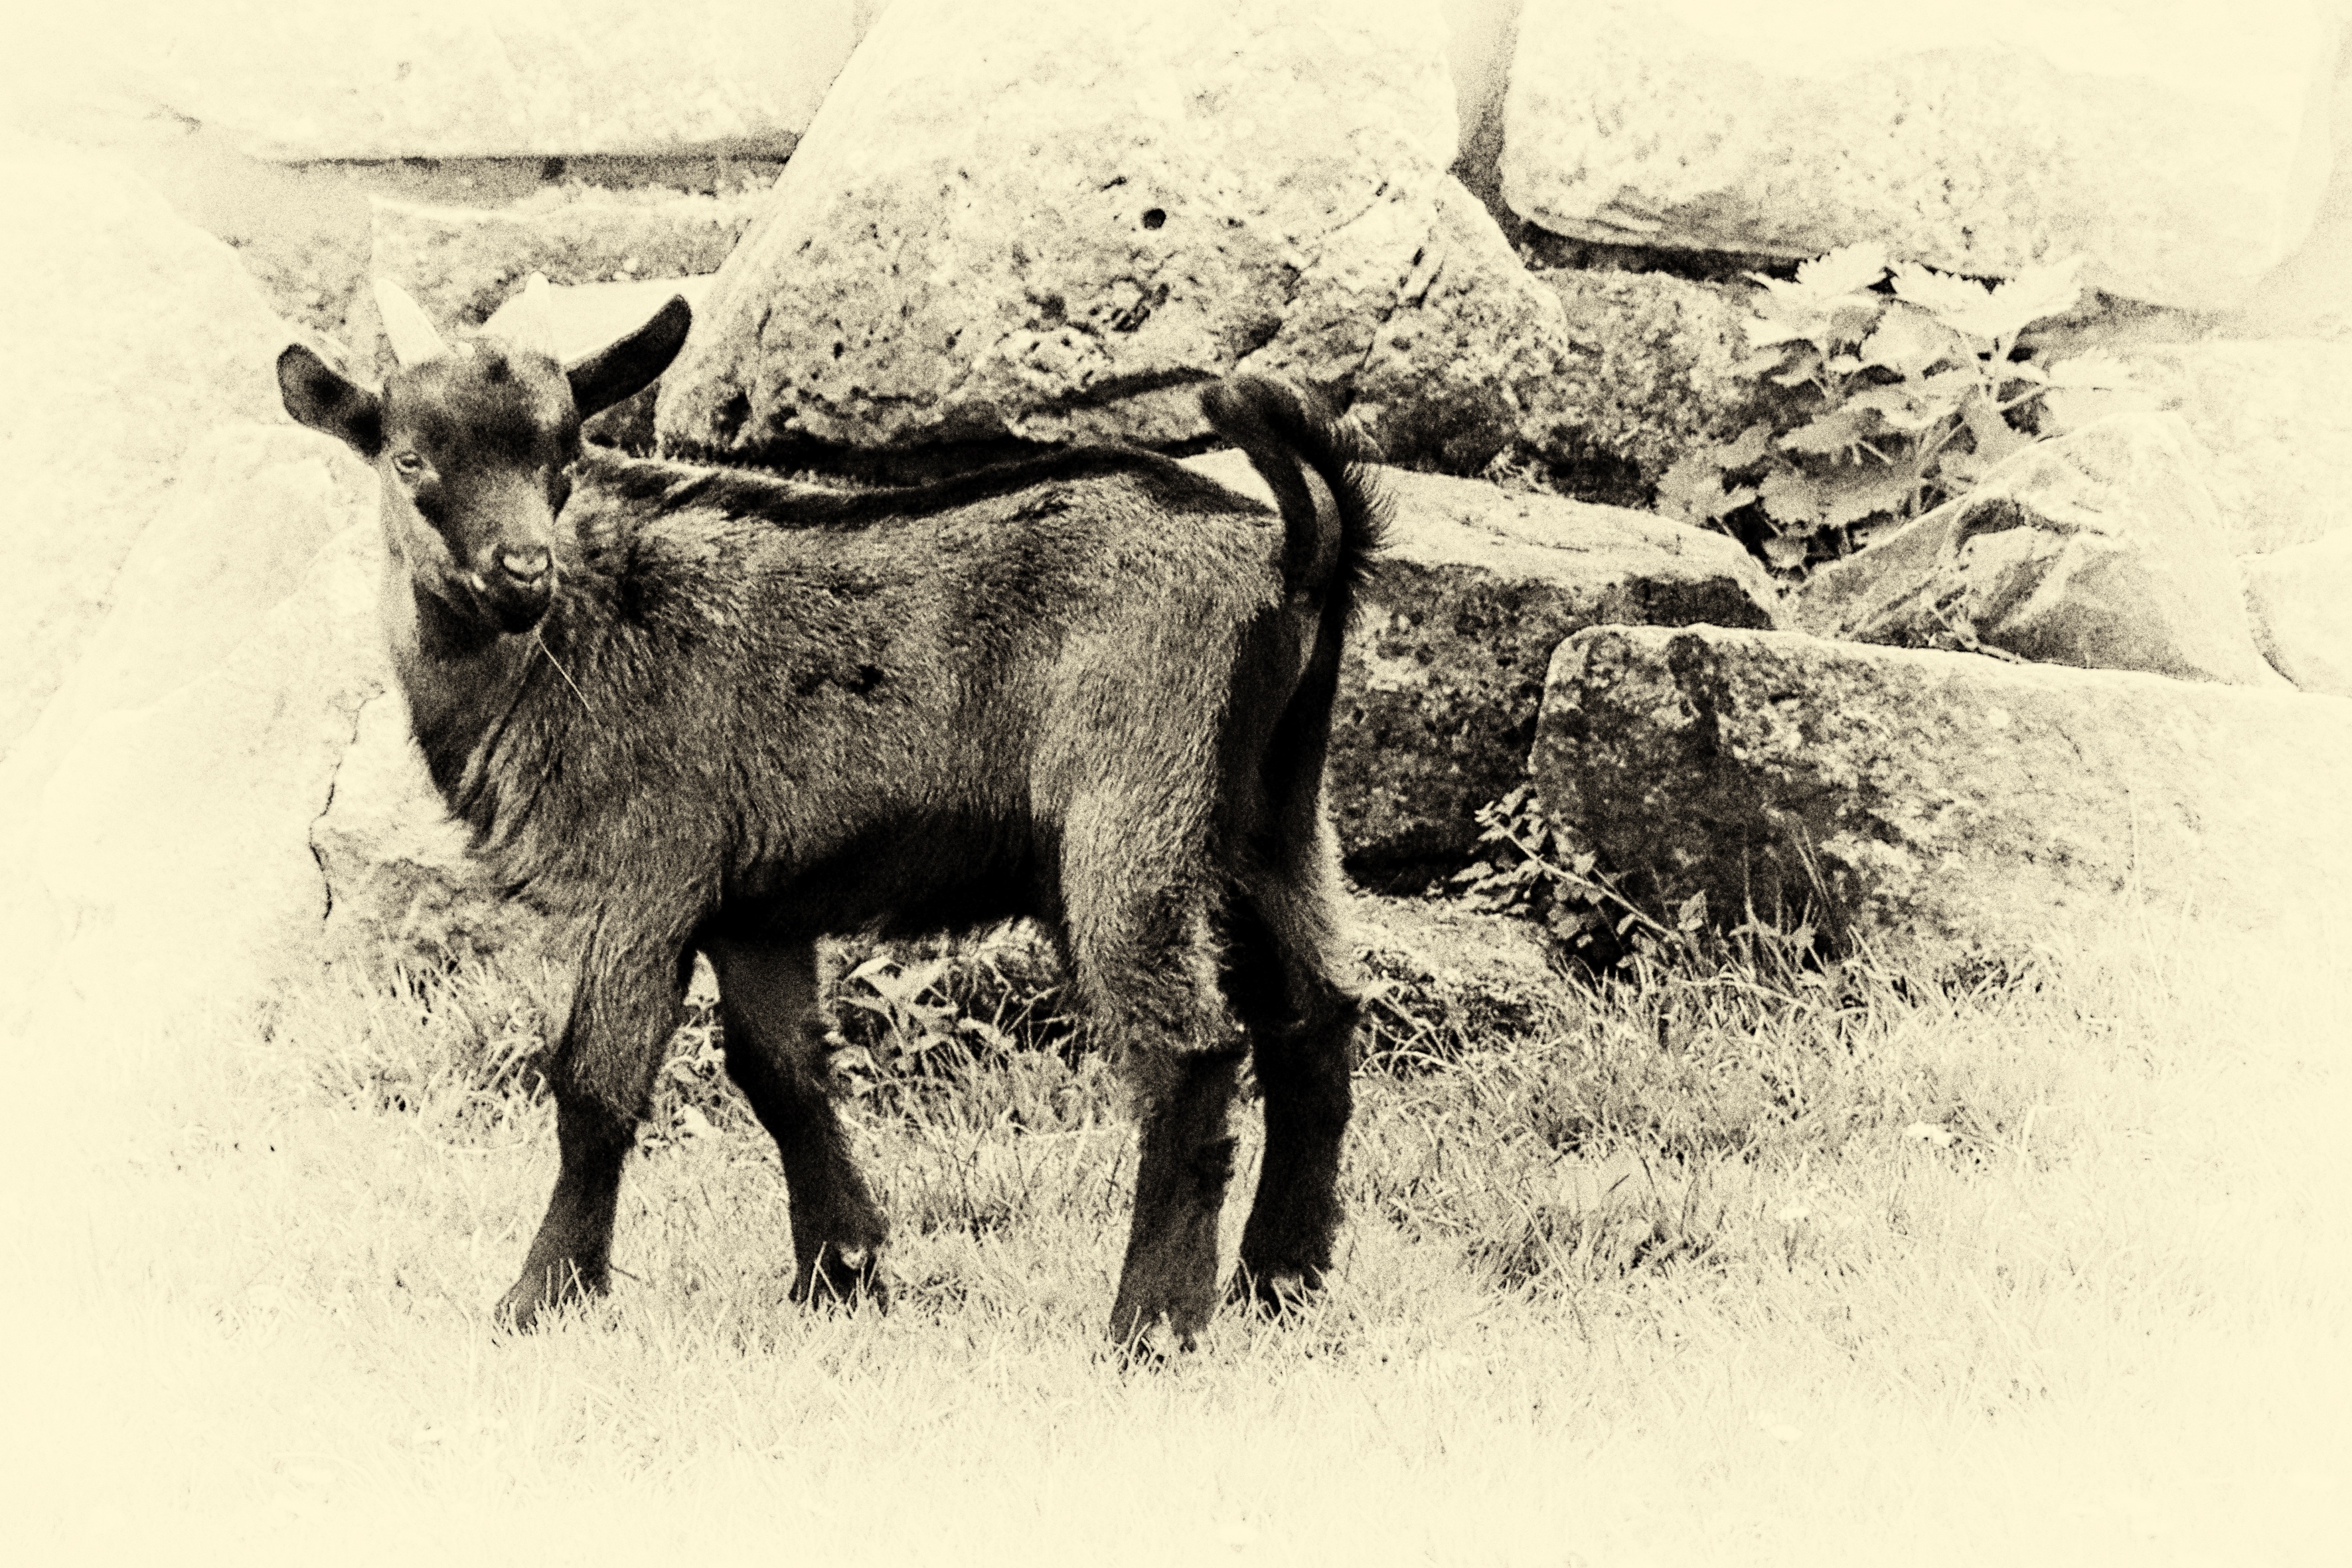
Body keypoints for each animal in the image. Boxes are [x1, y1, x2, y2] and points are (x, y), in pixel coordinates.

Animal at [274, 278, 1385, 1350]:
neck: (570, 638)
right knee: (1314, 1018)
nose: (521, 571)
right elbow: (782, 1073)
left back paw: (1150, 1324)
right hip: (1271, 814)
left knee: (1188, 1049)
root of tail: (1293, 549)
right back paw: (1277, 1284)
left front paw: (539, 1296)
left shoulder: (646, 873)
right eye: (411, 457)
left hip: (1132, 806)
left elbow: (593, 1084)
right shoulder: (753, 908)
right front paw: (841, 1273)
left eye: (565, 454)